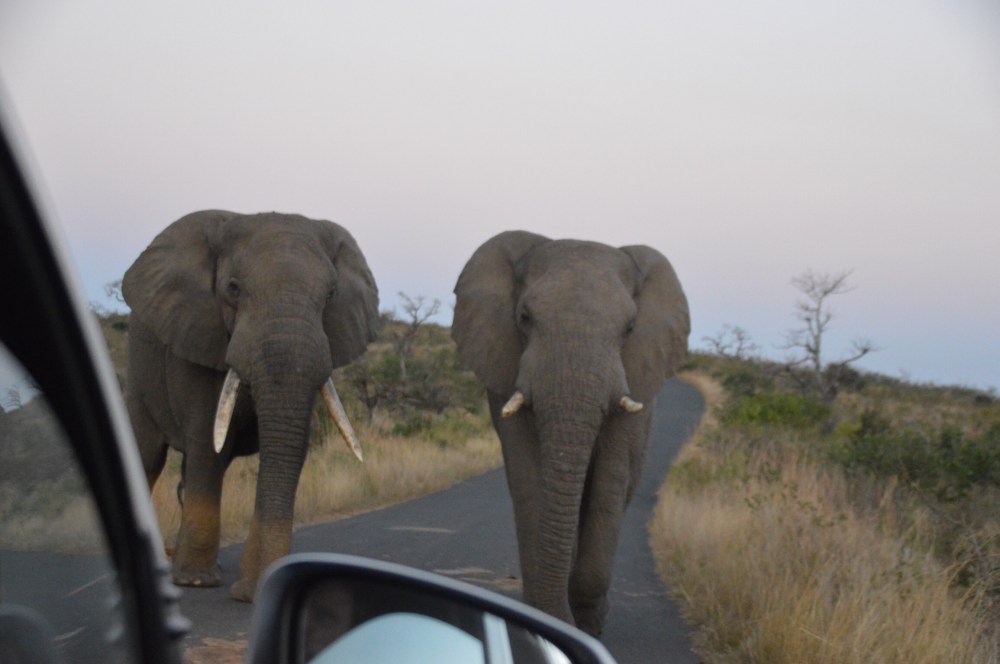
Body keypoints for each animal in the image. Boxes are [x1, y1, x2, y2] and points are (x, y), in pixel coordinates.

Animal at [122, 210, 380, 602]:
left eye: (331, 294)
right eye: (233, 288)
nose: (259, 590)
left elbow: (291, 450)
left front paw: (246, 590)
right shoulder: (196, 338)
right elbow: (207, 445)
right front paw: (195, 582)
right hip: (138, 377)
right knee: (150, 458)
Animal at [451, 230, 689, 636]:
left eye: (629, 329)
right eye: (525, 318)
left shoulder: (636, 377)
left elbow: (610, 480)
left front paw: (587, 625)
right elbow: (528, 480)